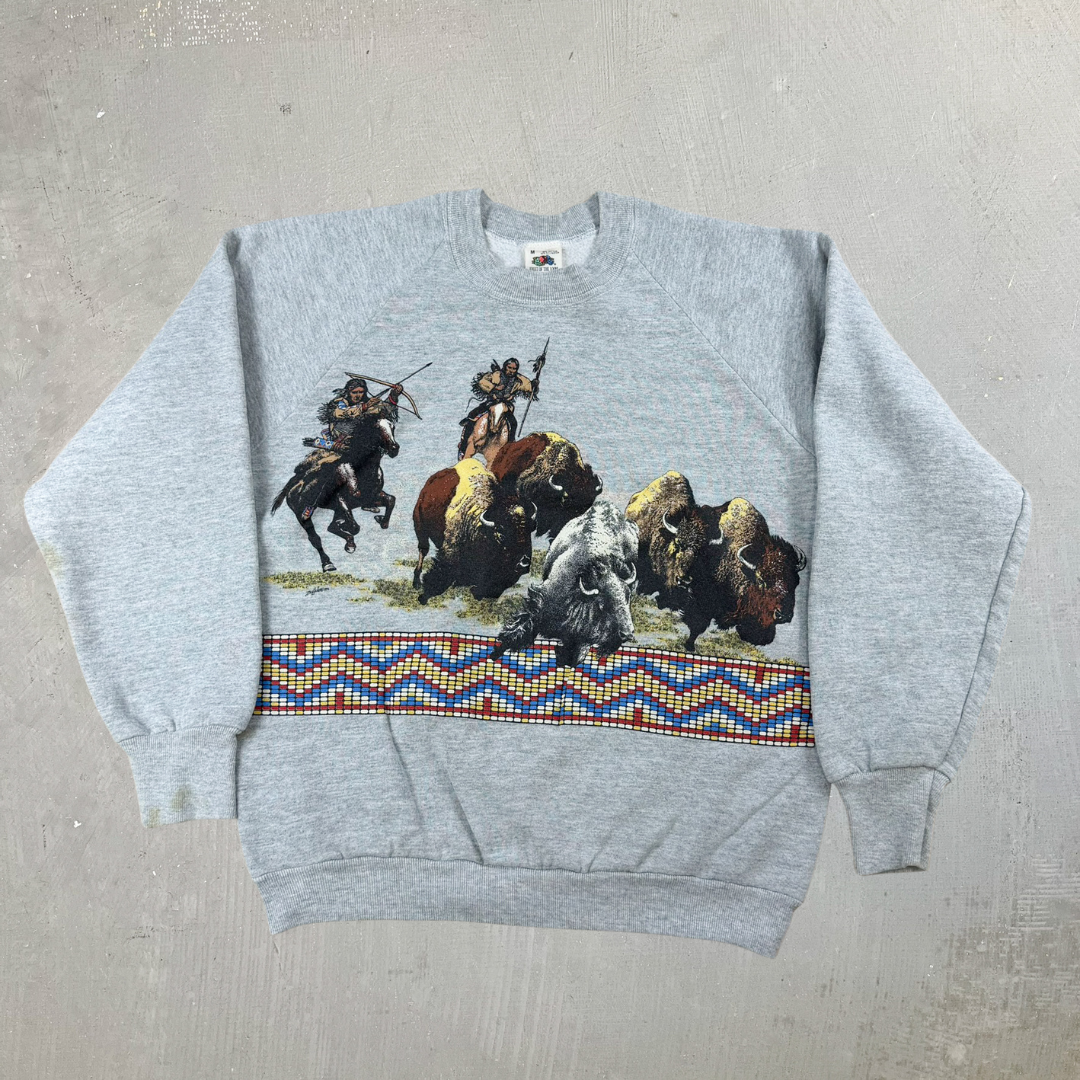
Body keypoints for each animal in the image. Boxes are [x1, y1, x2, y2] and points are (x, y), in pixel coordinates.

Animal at [271, 411, 399, 572]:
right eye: (376, 428)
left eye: (392, 426)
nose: (394, 448)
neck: (360, 471)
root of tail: (294, 484)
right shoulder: (341, 501)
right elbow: (354, 527)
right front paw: (348, 532)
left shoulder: (370, 497)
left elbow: (391, 500)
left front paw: (381, 520)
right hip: (302, 515)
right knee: (315, 538)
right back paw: (328, 563)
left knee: (331, 526)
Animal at [412, 459, 534, 603]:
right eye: (501, 534)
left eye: (529, 531)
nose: (523, 563)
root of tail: (427, 488)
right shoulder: (449, 553)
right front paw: (423, 597)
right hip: (420, 529)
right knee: (423, 551)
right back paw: (416, 582)